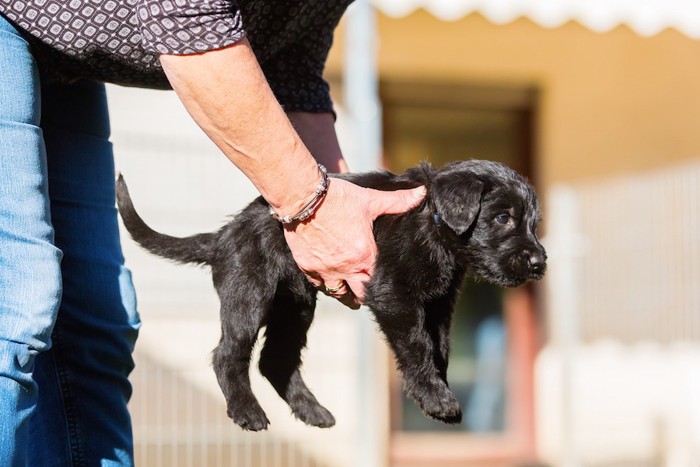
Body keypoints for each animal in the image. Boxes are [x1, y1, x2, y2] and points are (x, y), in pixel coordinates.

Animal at [117, 160, 548, 432]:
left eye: (532, 222)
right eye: (502, 217)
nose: (539, 262)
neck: (432, 221)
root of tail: (224, 235)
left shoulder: (439, 305)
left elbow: (440, 348)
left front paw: (436, 391)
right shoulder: (393, 293)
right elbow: (418, 346)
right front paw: (434, 397)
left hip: (295, 305)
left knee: (276, 360)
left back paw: (313, 411)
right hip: (249, 293)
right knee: (228, 353)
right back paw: (246, 411)